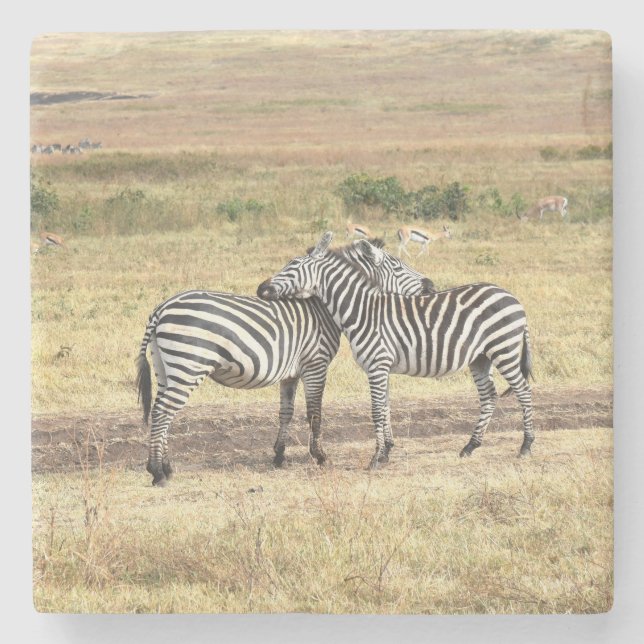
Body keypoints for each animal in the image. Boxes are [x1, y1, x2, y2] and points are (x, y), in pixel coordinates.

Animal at [135, 239, 434, 486]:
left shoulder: (290, 373)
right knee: (162, 413)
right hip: (188, 365)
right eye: (398, 266)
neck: (323, 308)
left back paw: (166, 466)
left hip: (166, 368)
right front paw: (320, 456)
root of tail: (161, 308)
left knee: (162, 412)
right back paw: (157, 472)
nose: (431, 286)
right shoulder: (316, 364)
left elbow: (286, 412)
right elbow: (314, 412)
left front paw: (279, 455)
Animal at [257, 231, 534, 469]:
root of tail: (512, 297)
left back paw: (526, 446)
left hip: (504, 349)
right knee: (489, 396)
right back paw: (470, 446)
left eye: (292, 265)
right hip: (481, 357)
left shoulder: (377, 365)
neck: (363, 310)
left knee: (523, 391)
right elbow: (385, 407)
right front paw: (386, 452)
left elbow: (376, 411)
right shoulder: (382, 367)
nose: (261, 289)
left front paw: (376, 458)